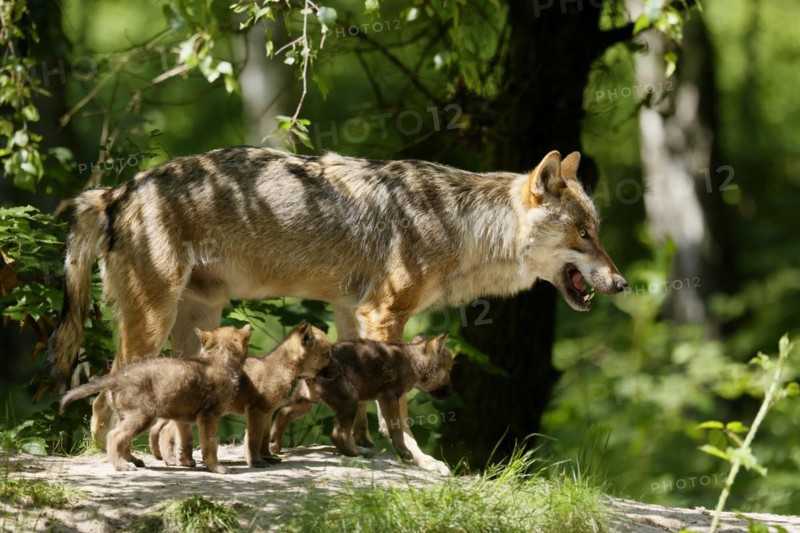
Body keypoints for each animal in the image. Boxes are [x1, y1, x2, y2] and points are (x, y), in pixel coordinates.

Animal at [59, 325, 251, 473]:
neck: (218, 360)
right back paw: (122, 466)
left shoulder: (183, 420)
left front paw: (187, 462)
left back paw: (134, 461)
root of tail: (116, 377)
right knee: (114, 437)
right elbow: (210, 446)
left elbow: (186, 441)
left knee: (124, 441)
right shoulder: (209, 416)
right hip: (142, 416)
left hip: (127, 417)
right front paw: (217, 468)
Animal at [150, 320, 333, 468]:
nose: (337, 371)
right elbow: (253, 439)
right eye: (327, 354)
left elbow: (265, 438)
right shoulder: (255, 410)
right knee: (166, 431)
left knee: (164, 429)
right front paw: (256, 461)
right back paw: (171, 460)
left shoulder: (268, 412)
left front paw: (268, 457)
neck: (281, 370)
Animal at [269, 334, 453, 461]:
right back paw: (357, 452)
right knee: (338, 435)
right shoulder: (389, 397)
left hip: (306, 401)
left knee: (283, 413)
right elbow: (396, 428)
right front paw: (404, 452)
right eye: (449, 370)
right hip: (349, 400)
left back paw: (274, 446)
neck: (412, 361)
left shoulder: (370, 399)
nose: (451, 393)